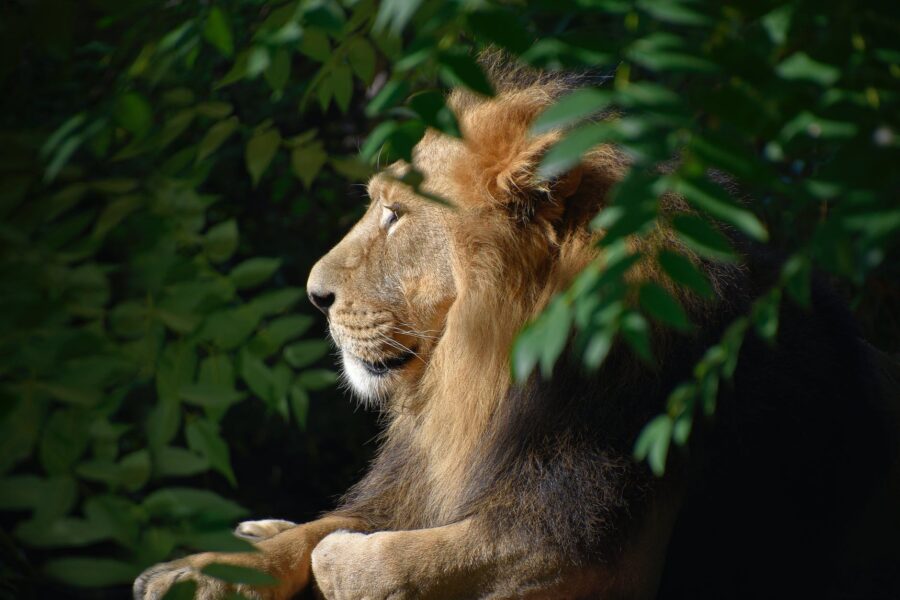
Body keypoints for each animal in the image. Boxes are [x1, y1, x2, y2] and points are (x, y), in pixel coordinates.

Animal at [135, 61, 897, 599]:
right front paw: (193, 571)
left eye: (395, 215)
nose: (315, 295)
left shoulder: (593, 545)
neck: (485, 375)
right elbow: (331, 525)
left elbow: (390, 558)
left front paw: (339, 562)